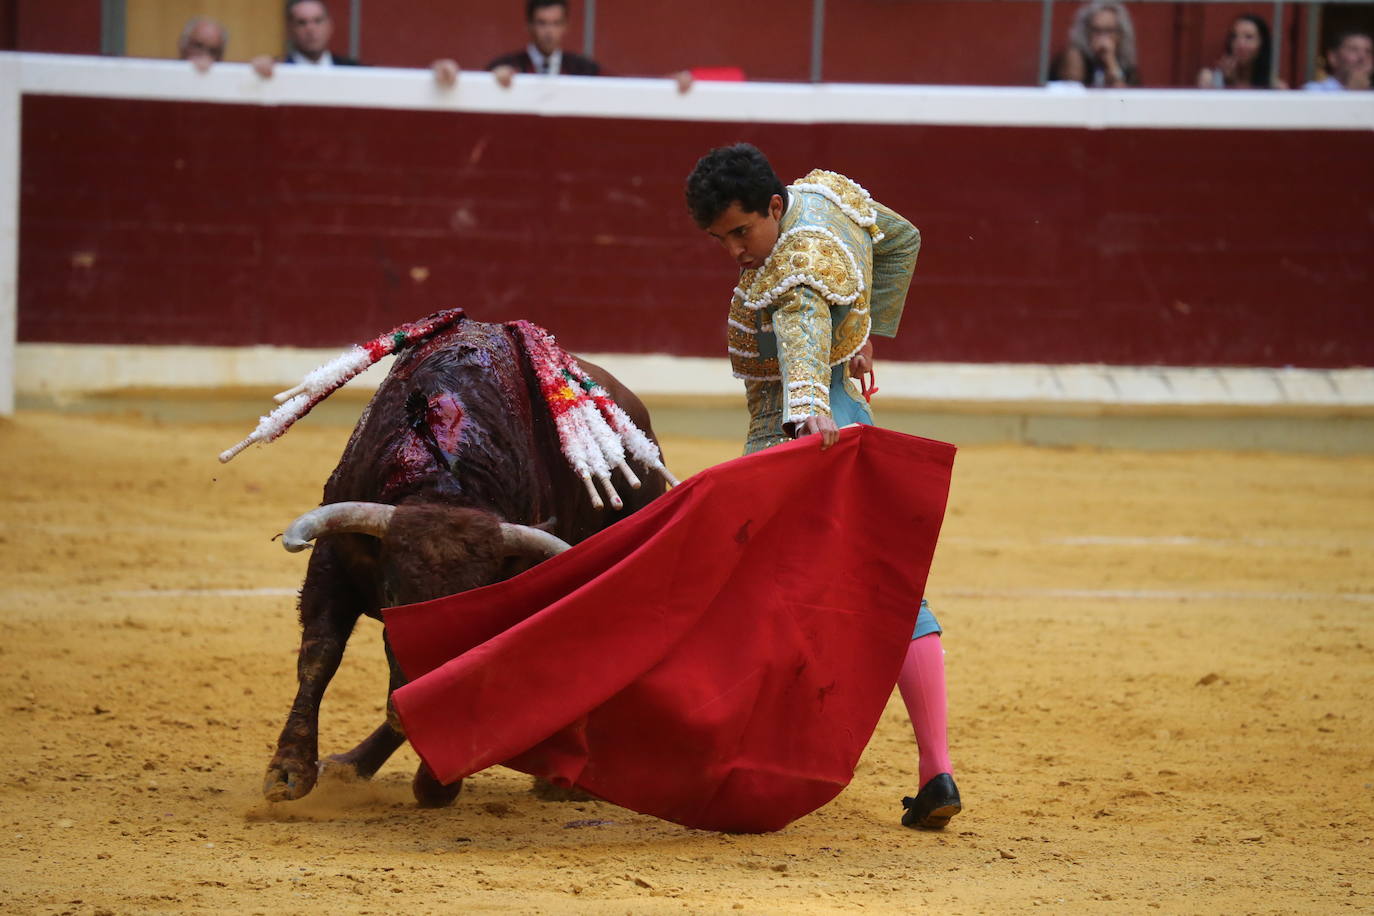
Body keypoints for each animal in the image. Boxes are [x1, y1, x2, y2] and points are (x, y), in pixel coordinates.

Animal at [241, 318, 670, 807]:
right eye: (392, 597)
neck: (445, 483)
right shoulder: (333, 559)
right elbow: (319, 656)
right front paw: (288, 771)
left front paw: (437, 781)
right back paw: (353, 766)